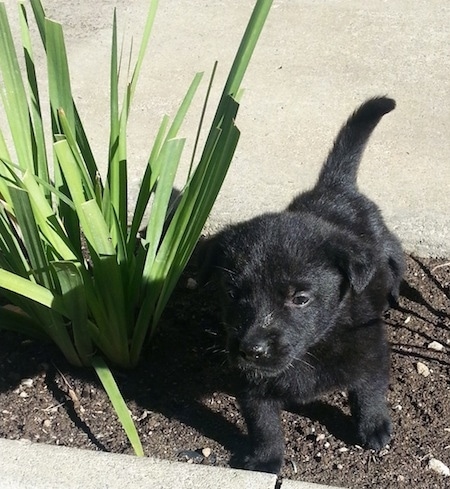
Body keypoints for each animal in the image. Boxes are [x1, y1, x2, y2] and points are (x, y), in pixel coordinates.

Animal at [203, 96, 404, 472]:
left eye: (300, 298)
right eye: (233, 294)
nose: (252, 349)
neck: (312, 348)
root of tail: (336, 188)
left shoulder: (370, 351)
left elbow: (369, 392)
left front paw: (374, 427)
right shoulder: (252, 382)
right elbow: (262, 421)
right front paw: (266, 459)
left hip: (385, 243)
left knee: (397, 255)